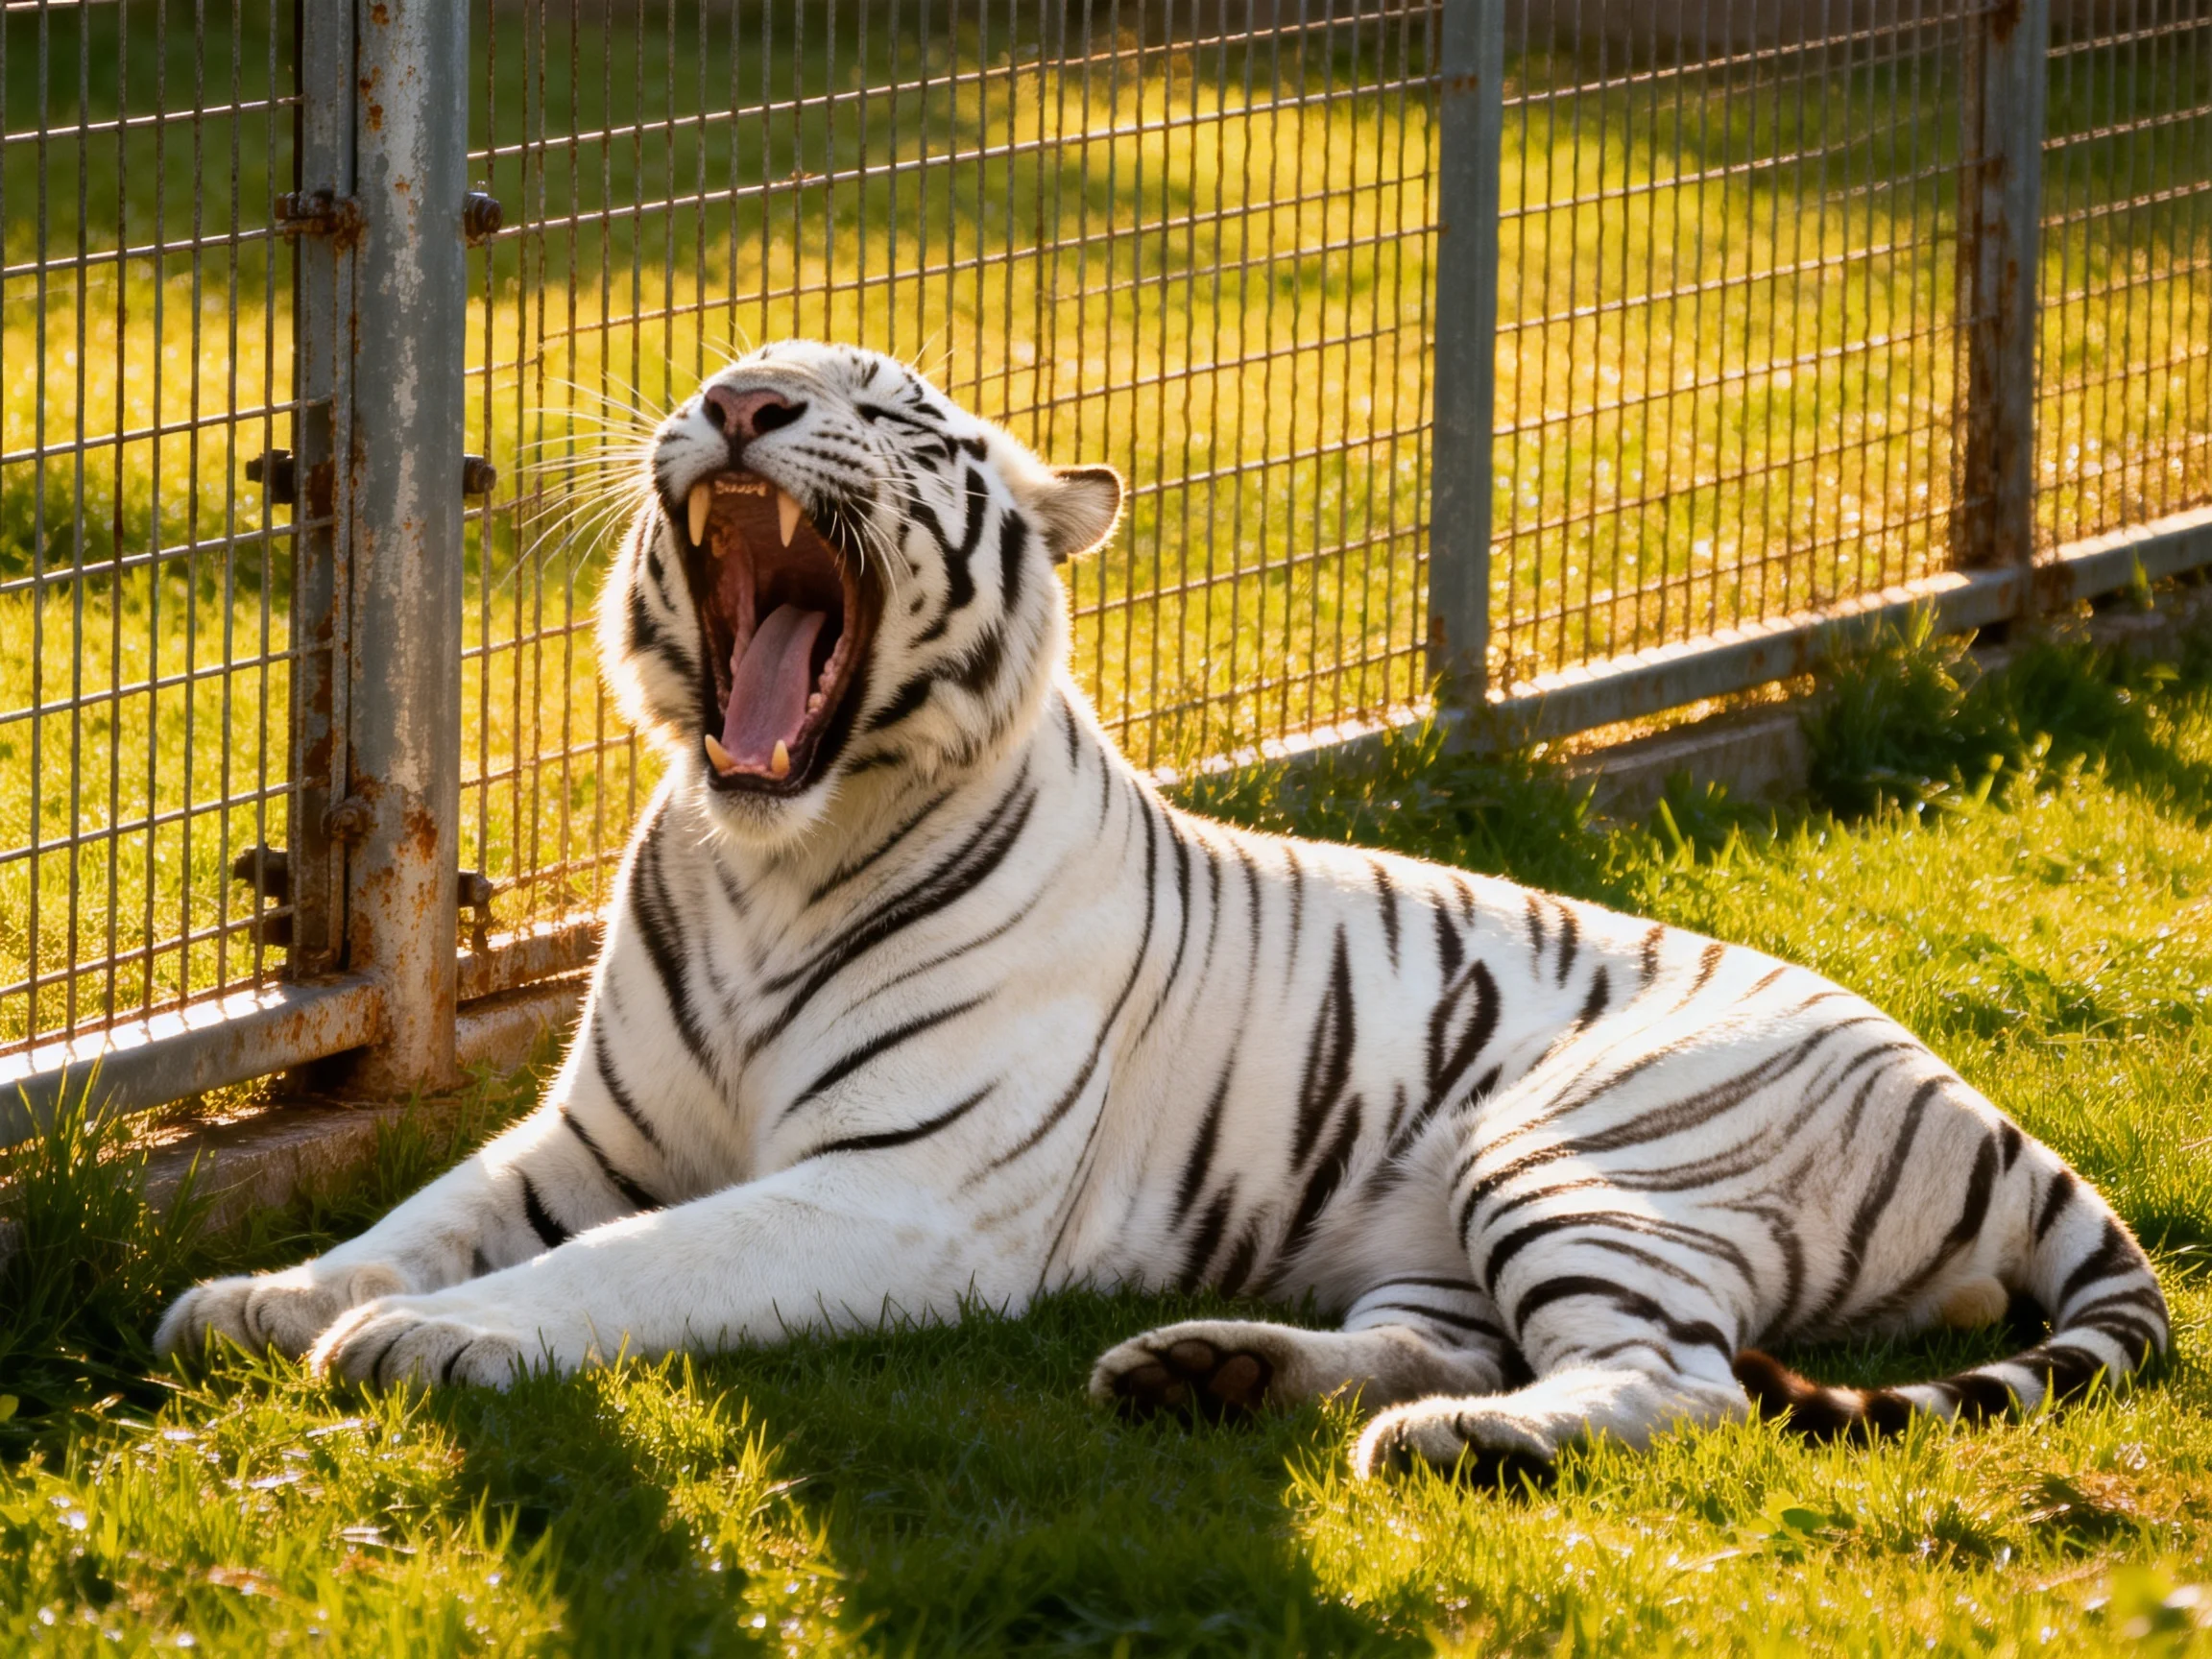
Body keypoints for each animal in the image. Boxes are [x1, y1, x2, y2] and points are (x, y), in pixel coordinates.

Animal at [157, 340, 2168, 1477]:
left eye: (891, 416)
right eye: (719, 381)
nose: (738, 409)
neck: (764, 856)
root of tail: (1987, 1109)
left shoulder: (894, 1188)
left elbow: (636, 1263)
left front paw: (436, 1343)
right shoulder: (590, 1132)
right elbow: (421, 1215)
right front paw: (266, 1296)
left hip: (1577, 1146)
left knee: (1671, 1387)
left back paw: (1446, 1444)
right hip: (1437, 1216)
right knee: (1460, 1330)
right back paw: (1205, 1370)